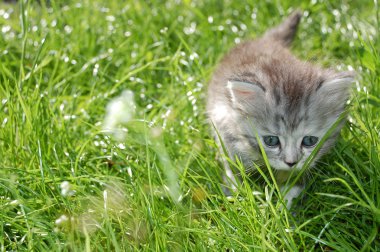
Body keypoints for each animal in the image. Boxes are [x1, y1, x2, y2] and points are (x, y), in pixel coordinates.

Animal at [206, 10, 354, 208]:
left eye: (309, 141)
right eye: (271, 140)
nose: (291, 162)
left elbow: (293, 183)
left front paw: (284, 206)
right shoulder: (225, 129)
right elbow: (232, 169)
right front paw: (238, 197)